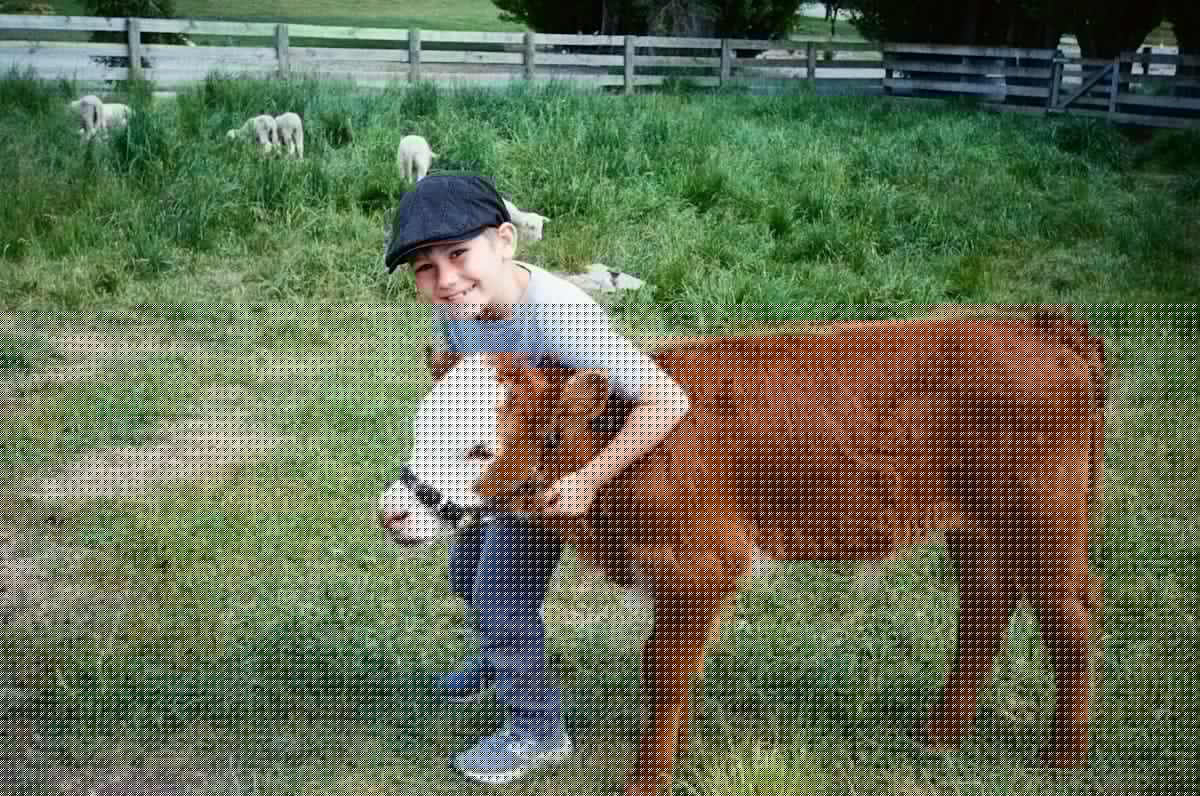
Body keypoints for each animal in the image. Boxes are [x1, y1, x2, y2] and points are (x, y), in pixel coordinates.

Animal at [474, 315, 1106, 796]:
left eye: (485, 438)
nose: (445, 502)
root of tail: (1036, 323)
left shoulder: (701, 564)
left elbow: (662, 666)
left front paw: (647, 779)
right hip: (981, 529)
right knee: (985, 609)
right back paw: (940, 734)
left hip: (1045, 522)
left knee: (1072, 623)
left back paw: (1063, 758)